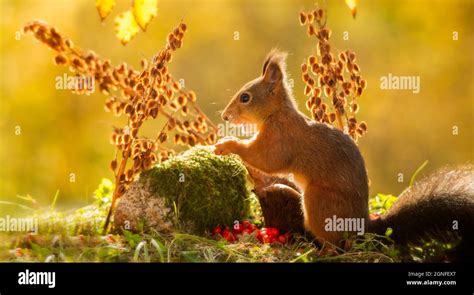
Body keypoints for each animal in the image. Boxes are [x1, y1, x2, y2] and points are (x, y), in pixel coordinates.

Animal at [214, 49, 474, 262]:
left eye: (245, 97)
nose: (225, 116)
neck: (276, 113)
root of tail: (362, 228)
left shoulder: (281, 139)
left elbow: (267, 159)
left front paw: (227, 144)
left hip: (318, 202)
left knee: (337, 245)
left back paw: (318, 252)